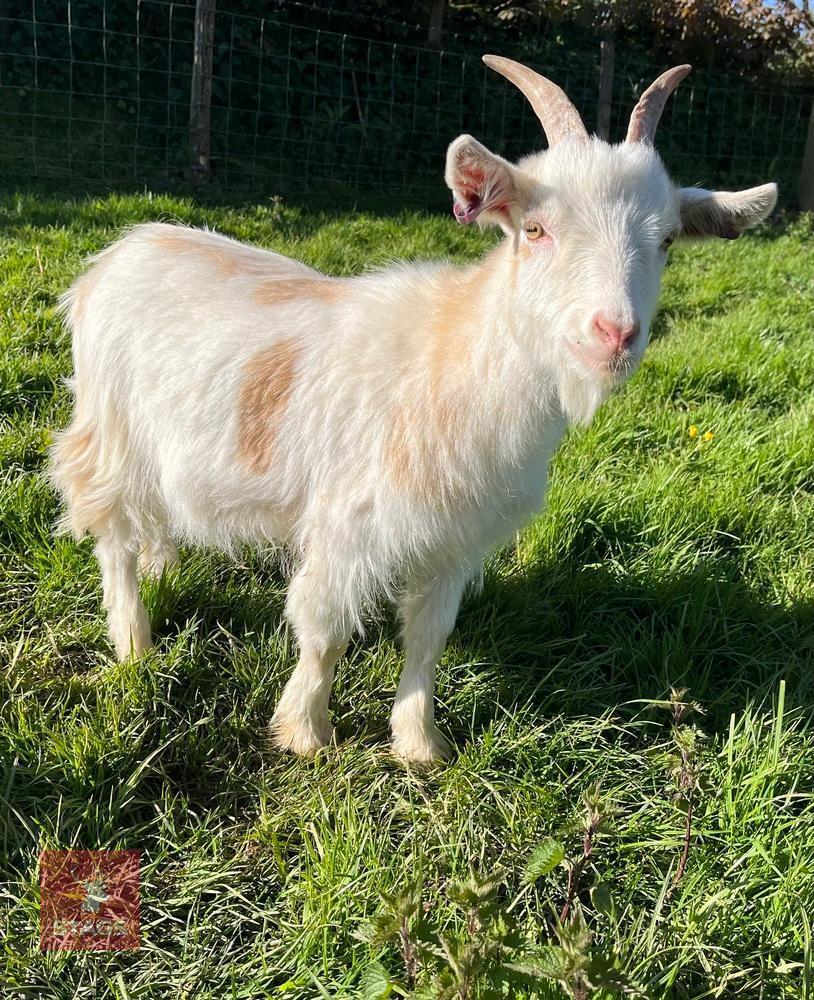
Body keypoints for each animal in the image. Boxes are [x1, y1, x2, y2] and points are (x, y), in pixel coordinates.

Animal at [49, 56, 777, 762]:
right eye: (535, 229)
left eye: (667, 241)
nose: (615, 334)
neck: (455, 357)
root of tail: (121, 251)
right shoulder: (348, 524)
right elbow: (325, 630)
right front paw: (306, 732)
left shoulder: (455, 538)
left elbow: (428, 637)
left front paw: (420, 744)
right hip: (109, 430)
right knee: (111, 532)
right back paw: (135, 643)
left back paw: (162, 564)